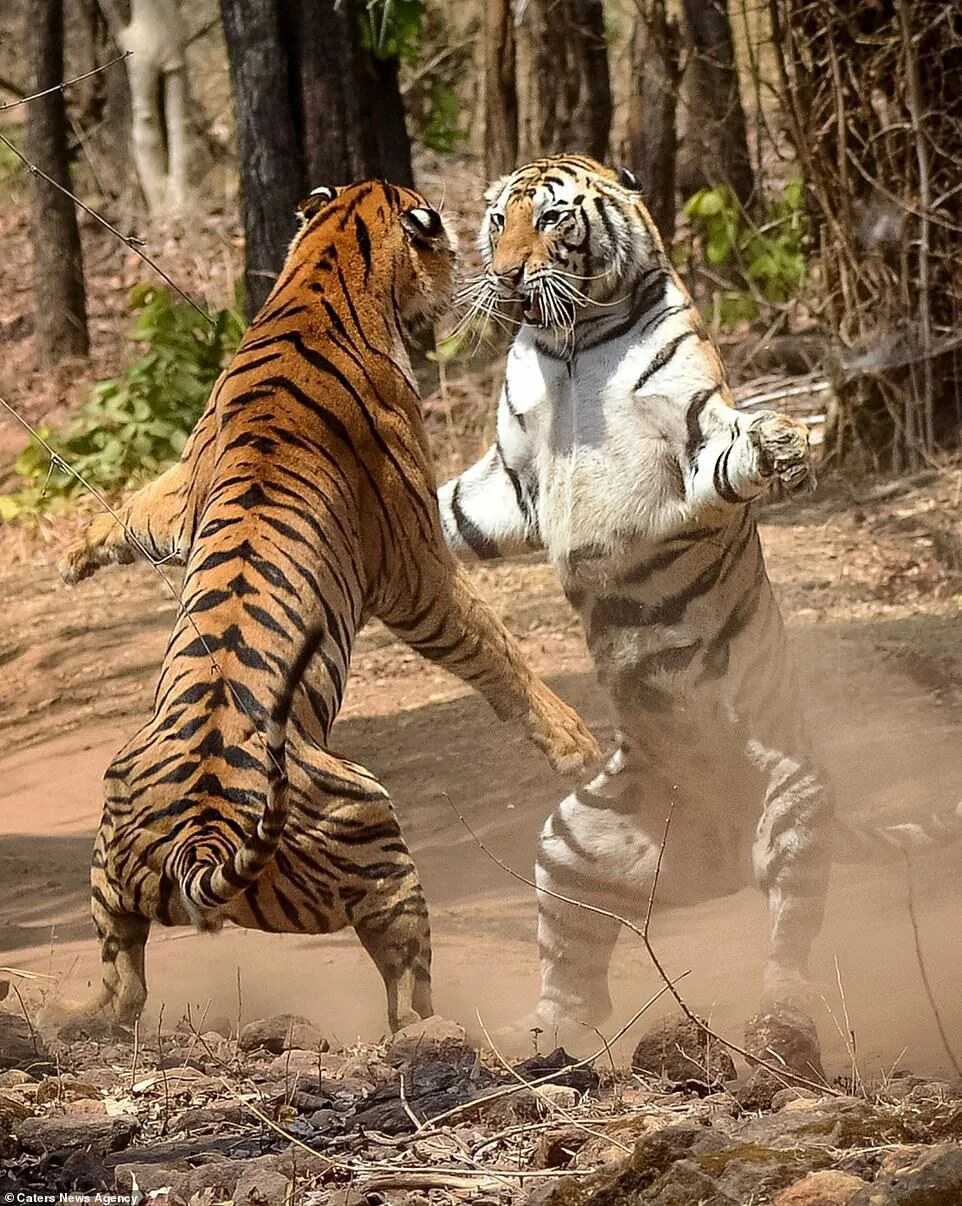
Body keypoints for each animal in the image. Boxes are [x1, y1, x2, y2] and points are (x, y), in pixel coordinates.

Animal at [56, 183, 597, 1032]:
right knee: (408, 996)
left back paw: (76, 1016)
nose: (474, 272)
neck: (326, 267)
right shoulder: (415, 571)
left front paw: (75, 556)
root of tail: (201, 842)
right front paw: (575, 743)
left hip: (111, 860)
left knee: (125, 987)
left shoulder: (180, 493)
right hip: (378, 838)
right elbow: (496, 651)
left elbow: (132, 512)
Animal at [441, 155, 959, 1041]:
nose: (505, 277)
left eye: (551, 219)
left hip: (794, 804)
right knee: (577, 971)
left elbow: (728, 451)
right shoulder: (506, 478)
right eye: (499, 220)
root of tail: (717, 858)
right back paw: (540, 1033)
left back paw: (782, 1013)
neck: (570, 347)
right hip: (569, 842)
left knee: (791, 934)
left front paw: (783, 445)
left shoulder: (687, 431)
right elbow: (444, 508)